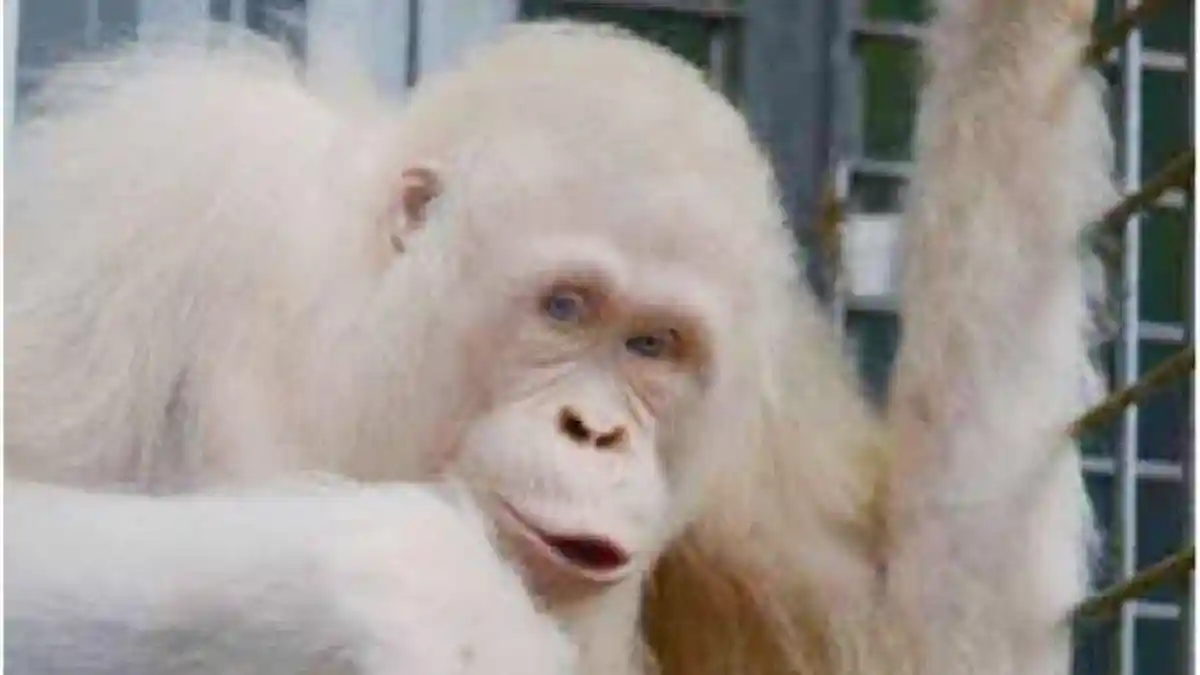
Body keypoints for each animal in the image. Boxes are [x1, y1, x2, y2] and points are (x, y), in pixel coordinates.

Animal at [4, 0, 1114, 672]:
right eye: (565, 307)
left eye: (654, 345)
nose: (597, 429)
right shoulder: (167, 179)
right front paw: (416, 594)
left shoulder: (754, 417)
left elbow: (940, 637)